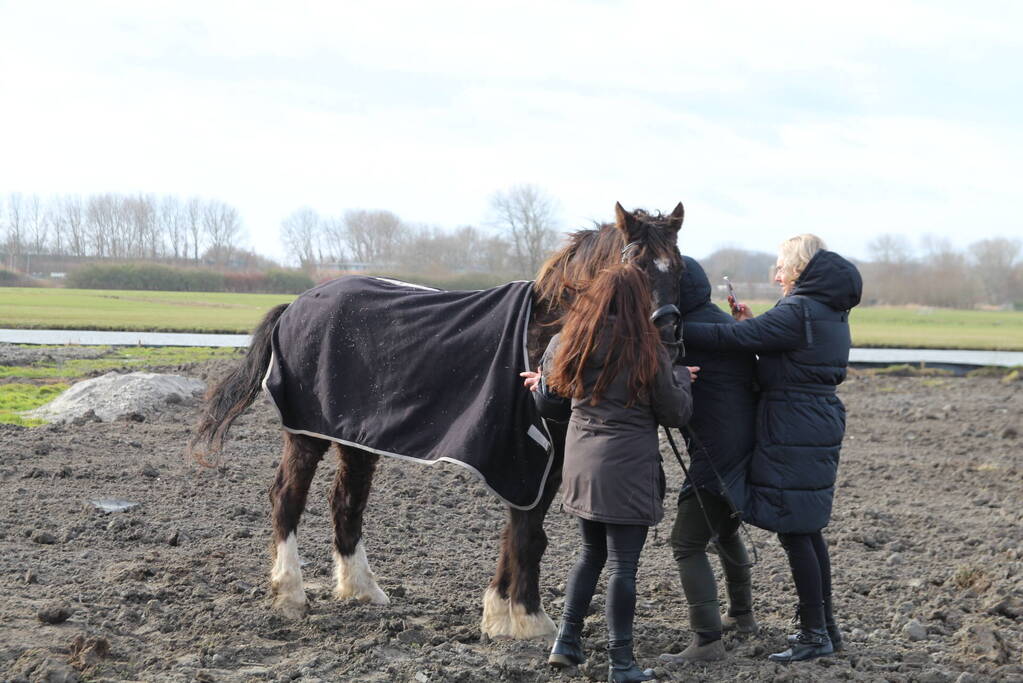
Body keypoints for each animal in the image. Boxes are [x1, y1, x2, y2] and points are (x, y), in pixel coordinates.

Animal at [190, 201, 687, 642]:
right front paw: (527, 619)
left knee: (345, 502)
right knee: (287, 498)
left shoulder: (539, 460)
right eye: (638, 264)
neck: (545, 332)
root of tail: (296, 304)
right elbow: (528, 531)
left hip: (357, 437)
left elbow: (519, 529)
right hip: (306, 433)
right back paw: (291, 594)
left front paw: (499, 614)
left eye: (679, 267)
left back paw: (361, 589)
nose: (668, 337)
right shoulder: (530, 454)